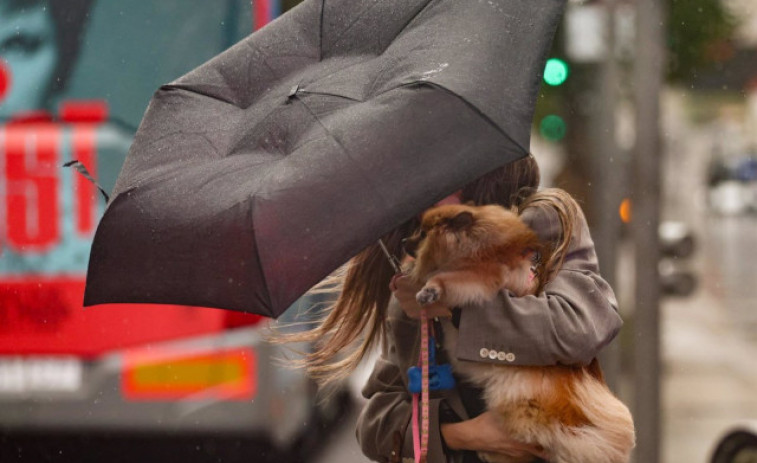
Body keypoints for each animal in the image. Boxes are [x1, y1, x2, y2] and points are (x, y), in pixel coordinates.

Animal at [404, 205, 636, 463]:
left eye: (423, 233)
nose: (403, 241)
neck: (477, 244)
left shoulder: (482, 275)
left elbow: (448, 280)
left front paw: (431, 288)